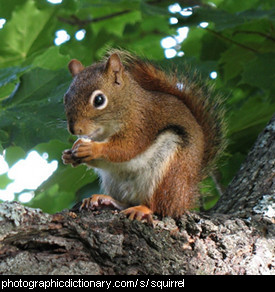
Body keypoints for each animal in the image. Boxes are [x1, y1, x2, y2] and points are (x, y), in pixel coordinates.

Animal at [62, 50, 226, 224]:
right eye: (66, 98)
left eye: (99, 100)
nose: (74, 129)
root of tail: (186, 196)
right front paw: (68, 155)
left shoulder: (142, 124)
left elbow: (127, 148)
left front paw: (91, 148)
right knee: (126, 202)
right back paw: (105, 199)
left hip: (171, 175)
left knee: (162, 207)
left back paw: (143, 209)